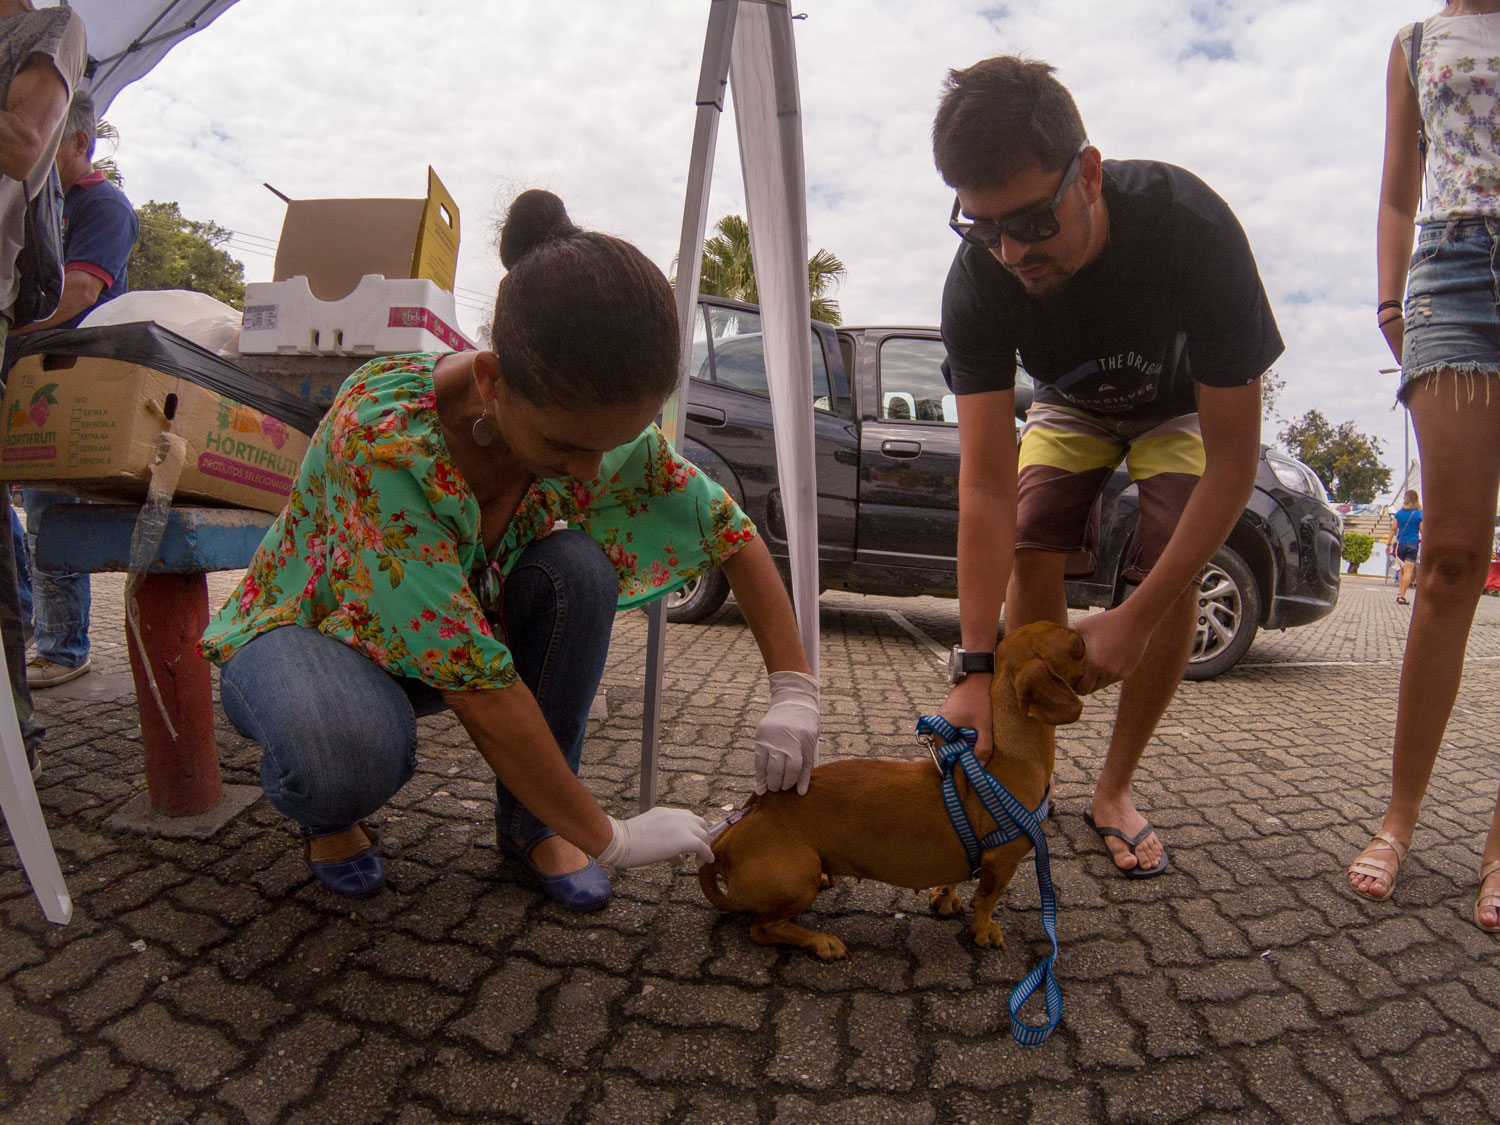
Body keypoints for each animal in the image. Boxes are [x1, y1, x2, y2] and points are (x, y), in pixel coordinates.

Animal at [696, 627, 1086, 960]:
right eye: (1079, 644)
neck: (1008, 758)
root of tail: (729, 838)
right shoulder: (1002, 861)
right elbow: (987, 900)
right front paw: (984, 930)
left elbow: (956, 878)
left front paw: (946, 897)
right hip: (797, 880)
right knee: (763, 928)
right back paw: (819, 941)